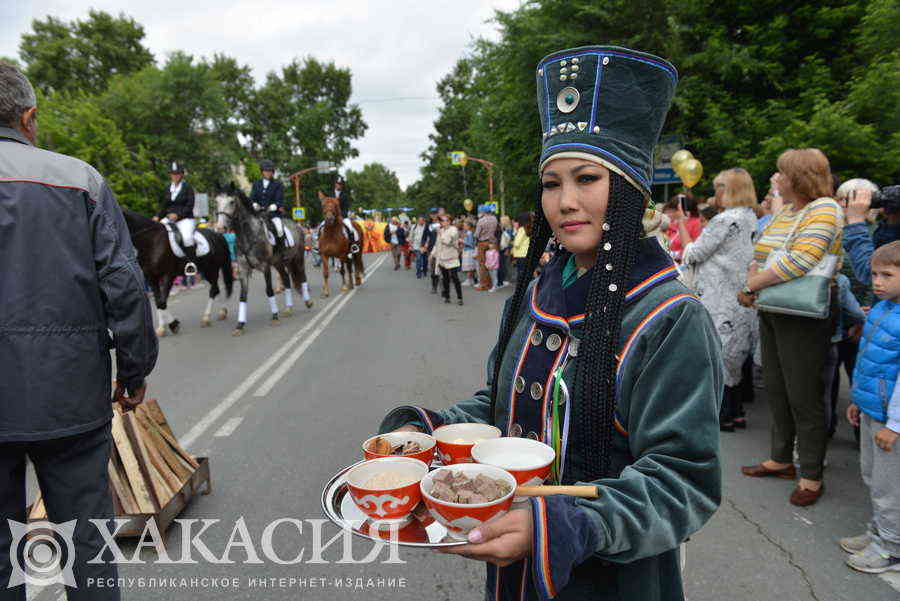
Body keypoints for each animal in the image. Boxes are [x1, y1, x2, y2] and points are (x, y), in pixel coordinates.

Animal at [214, 185, 312, 336]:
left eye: (231, 202)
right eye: (216, 201)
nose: (220, 228)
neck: (248, 235)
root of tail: (297, 225)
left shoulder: (265, 266)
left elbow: (269, 290)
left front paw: (275, 317)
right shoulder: (243, 269)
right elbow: (243, 296)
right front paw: (240, 325)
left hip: (298, 258)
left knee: (302, 278)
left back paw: (307, 302)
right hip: (279, 263)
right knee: (286, 279)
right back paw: (288, 308)